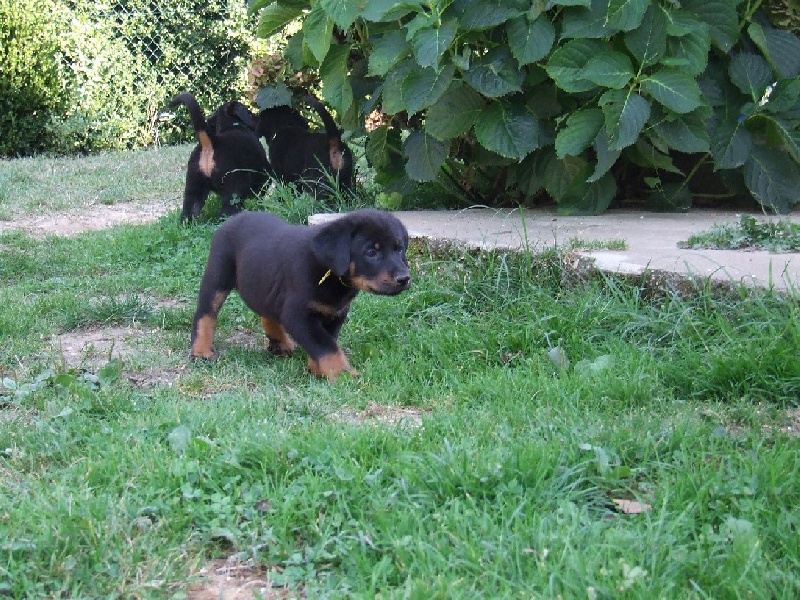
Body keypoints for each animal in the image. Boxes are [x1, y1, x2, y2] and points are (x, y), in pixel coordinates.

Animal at [170, 92, 270, 224]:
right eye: (249, 112)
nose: (259, 119)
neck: (231, 125)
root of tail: (211, 142)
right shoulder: (264, 172)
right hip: (235, 186)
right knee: (228, 211)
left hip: (193, 186)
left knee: (188, 212)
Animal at [190, 209, 410, 382]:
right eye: (371, 252)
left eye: (399, 249)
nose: (404, 278)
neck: (329, 273)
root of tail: (233, 218)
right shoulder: (297, 315)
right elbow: (326, 346)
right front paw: (343, 374)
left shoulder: (335, 314)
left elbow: (325, 342)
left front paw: (316, 370)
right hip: (217, 276)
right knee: (205, 314)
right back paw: (201, 352)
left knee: (267, 313)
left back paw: (281, 344)